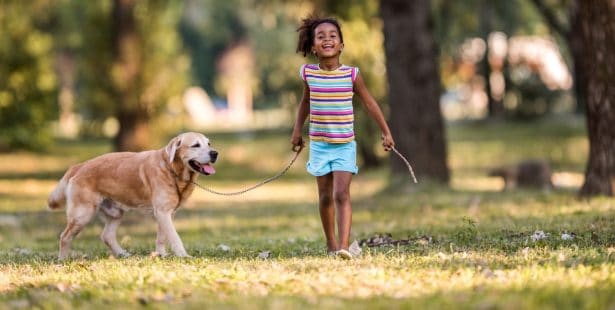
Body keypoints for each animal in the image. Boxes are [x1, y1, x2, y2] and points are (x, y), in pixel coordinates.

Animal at [48, 131, 218, 260]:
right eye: (195, 145)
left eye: (209, 144)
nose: (215, 153)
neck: (171, 169)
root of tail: (79, 165)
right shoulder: (163, 212)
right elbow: (175, 237)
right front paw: (183, 256)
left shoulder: (167, 213)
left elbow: (162, 237)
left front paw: (161, 255)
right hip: (82, 215)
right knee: (64, 236)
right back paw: (62, 260)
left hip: (115, 213)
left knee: (107, 236)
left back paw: (123, 254)